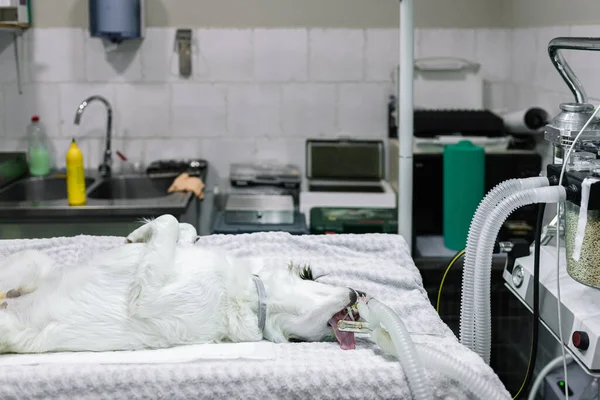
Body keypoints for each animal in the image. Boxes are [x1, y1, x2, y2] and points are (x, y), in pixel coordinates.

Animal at [0, 214, 360, 354]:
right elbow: (183, 226)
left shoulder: (149, 297)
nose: (359, 293)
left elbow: (172, 222)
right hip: (34, 260)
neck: (250, 298)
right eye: (309, 275)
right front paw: (136, 236)